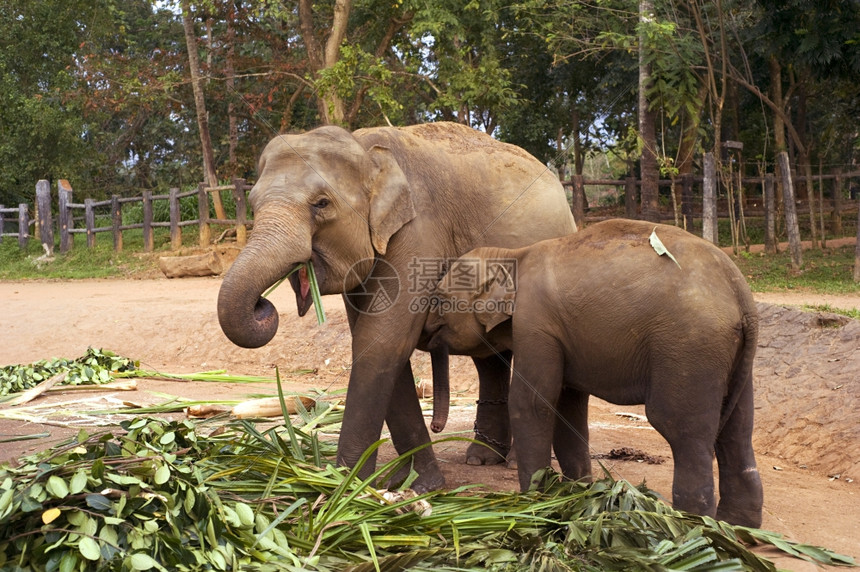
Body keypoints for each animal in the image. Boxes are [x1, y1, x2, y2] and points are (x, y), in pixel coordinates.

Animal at [217, 122, 576, 492]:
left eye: (322, 203)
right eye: (253, 204)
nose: (263, 303)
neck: (366, 150)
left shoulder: (418, 232)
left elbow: (383, 342)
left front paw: (344, 488)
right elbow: (381, 345)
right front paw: (408, 484)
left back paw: (512, 462)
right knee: (489, 356)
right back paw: (482, 458)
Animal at [424, 219, 760, 528]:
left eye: (440, 299)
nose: (436, 427)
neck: (511, 255)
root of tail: (740, 292)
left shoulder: (535, 325)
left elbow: (532, 403)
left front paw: (533, 502)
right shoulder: (562, 336)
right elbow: (567, 407)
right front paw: (577, 493)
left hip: (689, 348)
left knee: (680, 428)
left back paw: (694, 524)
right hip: (729, 359)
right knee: (738, 431)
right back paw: (738, 525)